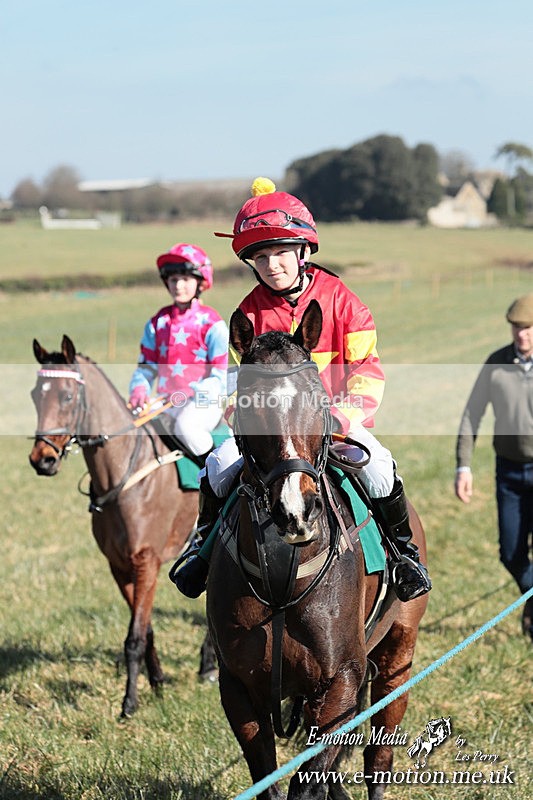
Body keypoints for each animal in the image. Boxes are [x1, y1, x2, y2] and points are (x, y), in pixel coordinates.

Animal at [29, 335, 217, 717]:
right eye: (35, 395)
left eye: (67, 396)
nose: (42, 459)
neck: (124, 475)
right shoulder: (118, 565)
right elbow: (146, 629)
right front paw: (157, 681)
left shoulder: (146, 562)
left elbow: (134, 637)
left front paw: (129, 703)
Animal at [206, 300, 429, 800]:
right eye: (247, 403)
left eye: (316, 399)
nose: (296, 510)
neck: (282, 582)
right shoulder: (239, 686)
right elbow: (268, 779)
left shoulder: (342, 681)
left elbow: (309, 782)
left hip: (397, 657)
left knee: (378, 757)